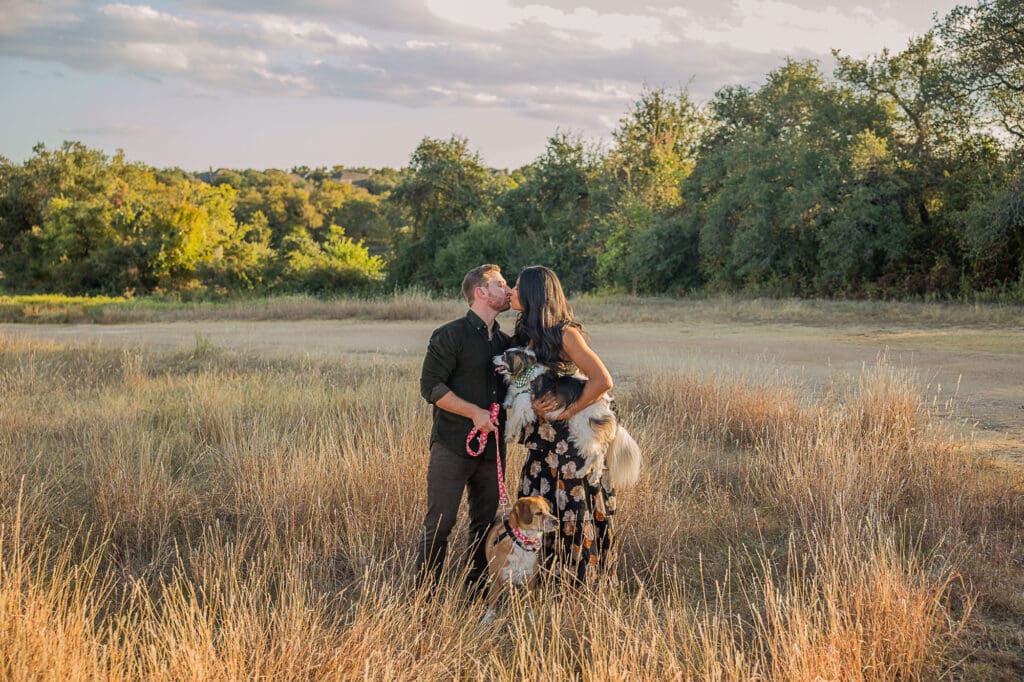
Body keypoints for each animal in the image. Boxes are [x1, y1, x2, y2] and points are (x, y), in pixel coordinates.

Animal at [493, 347, 642, 489]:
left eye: (504, 356)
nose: (493, 357)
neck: (526, 374)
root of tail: (610, 403)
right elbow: (511, 399)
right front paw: (507, 403)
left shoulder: (524, 405)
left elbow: (511, 421)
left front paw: (508, 435)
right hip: (580, 429)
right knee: (592, 454)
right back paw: (582, 472)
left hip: (585, 427)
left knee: (599, 454)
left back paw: (594, 478)